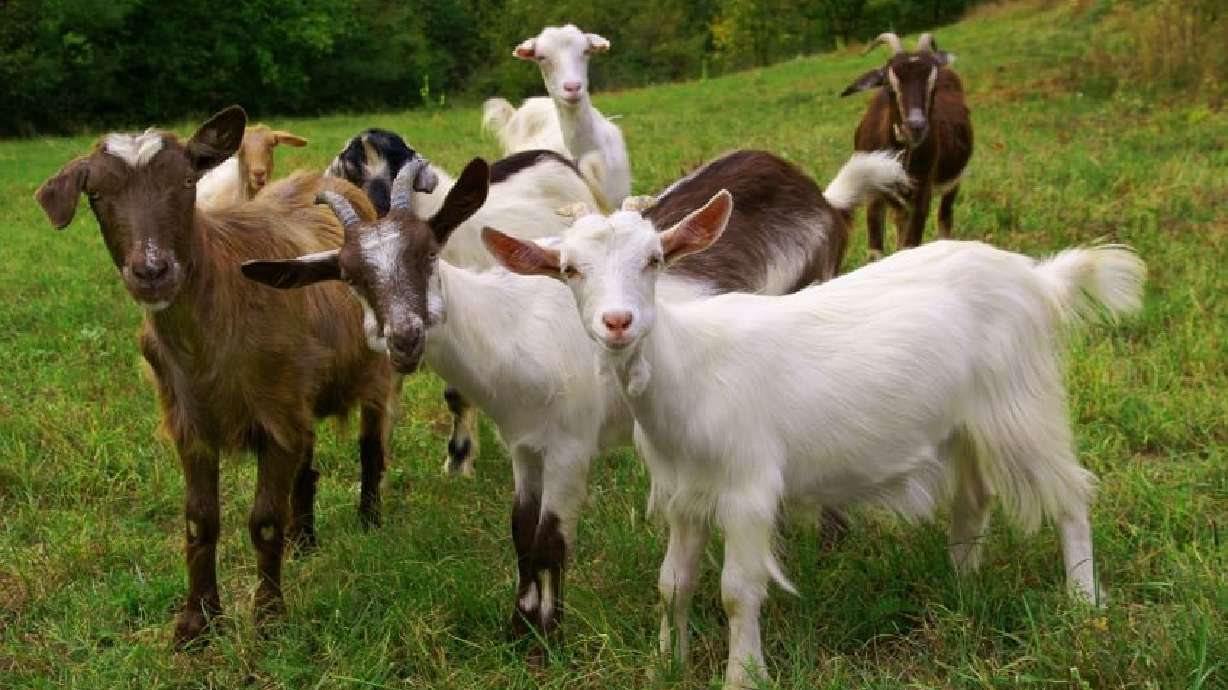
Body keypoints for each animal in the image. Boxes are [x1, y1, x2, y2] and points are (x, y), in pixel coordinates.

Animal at [34, 106, 395, 647]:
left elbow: (263, 520)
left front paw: (268, 618)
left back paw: (370, 521)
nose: (152, 271)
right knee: (307, 467)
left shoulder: (275, 415)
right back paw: (304, 541)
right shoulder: (192, 421)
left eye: (187, 181)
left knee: (371, 446)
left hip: (372, 371)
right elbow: (199, 521)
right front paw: (197, 622)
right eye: (95, 194)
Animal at [324, 129, 605, 476]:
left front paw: (458, 461)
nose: (380, 217)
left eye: (399, 165)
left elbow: (456, 396)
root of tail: (558, 158)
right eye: (351, 173)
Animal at [486, 190, 1145, 689]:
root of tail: (1035, 278)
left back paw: (1084, 602)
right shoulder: (683, 494)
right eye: (569, 270)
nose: (618, 323)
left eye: (654, 258)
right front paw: (664, 664)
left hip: (1019, 402)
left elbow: (737, 591)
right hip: (964, 422)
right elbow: (673, 584)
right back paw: (962, 587)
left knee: (1071, 494)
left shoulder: (748, 487)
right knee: (974, 497)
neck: (688, 372)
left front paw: (743, 676)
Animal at [840, 32, 973, 259]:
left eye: (933, 86)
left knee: (944, 218)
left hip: (954, 182)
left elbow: (910, 244)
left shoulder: (921, 194)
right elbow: (876, 252)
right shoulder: (874, 196)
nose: (915, 126)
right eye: (888, 85)